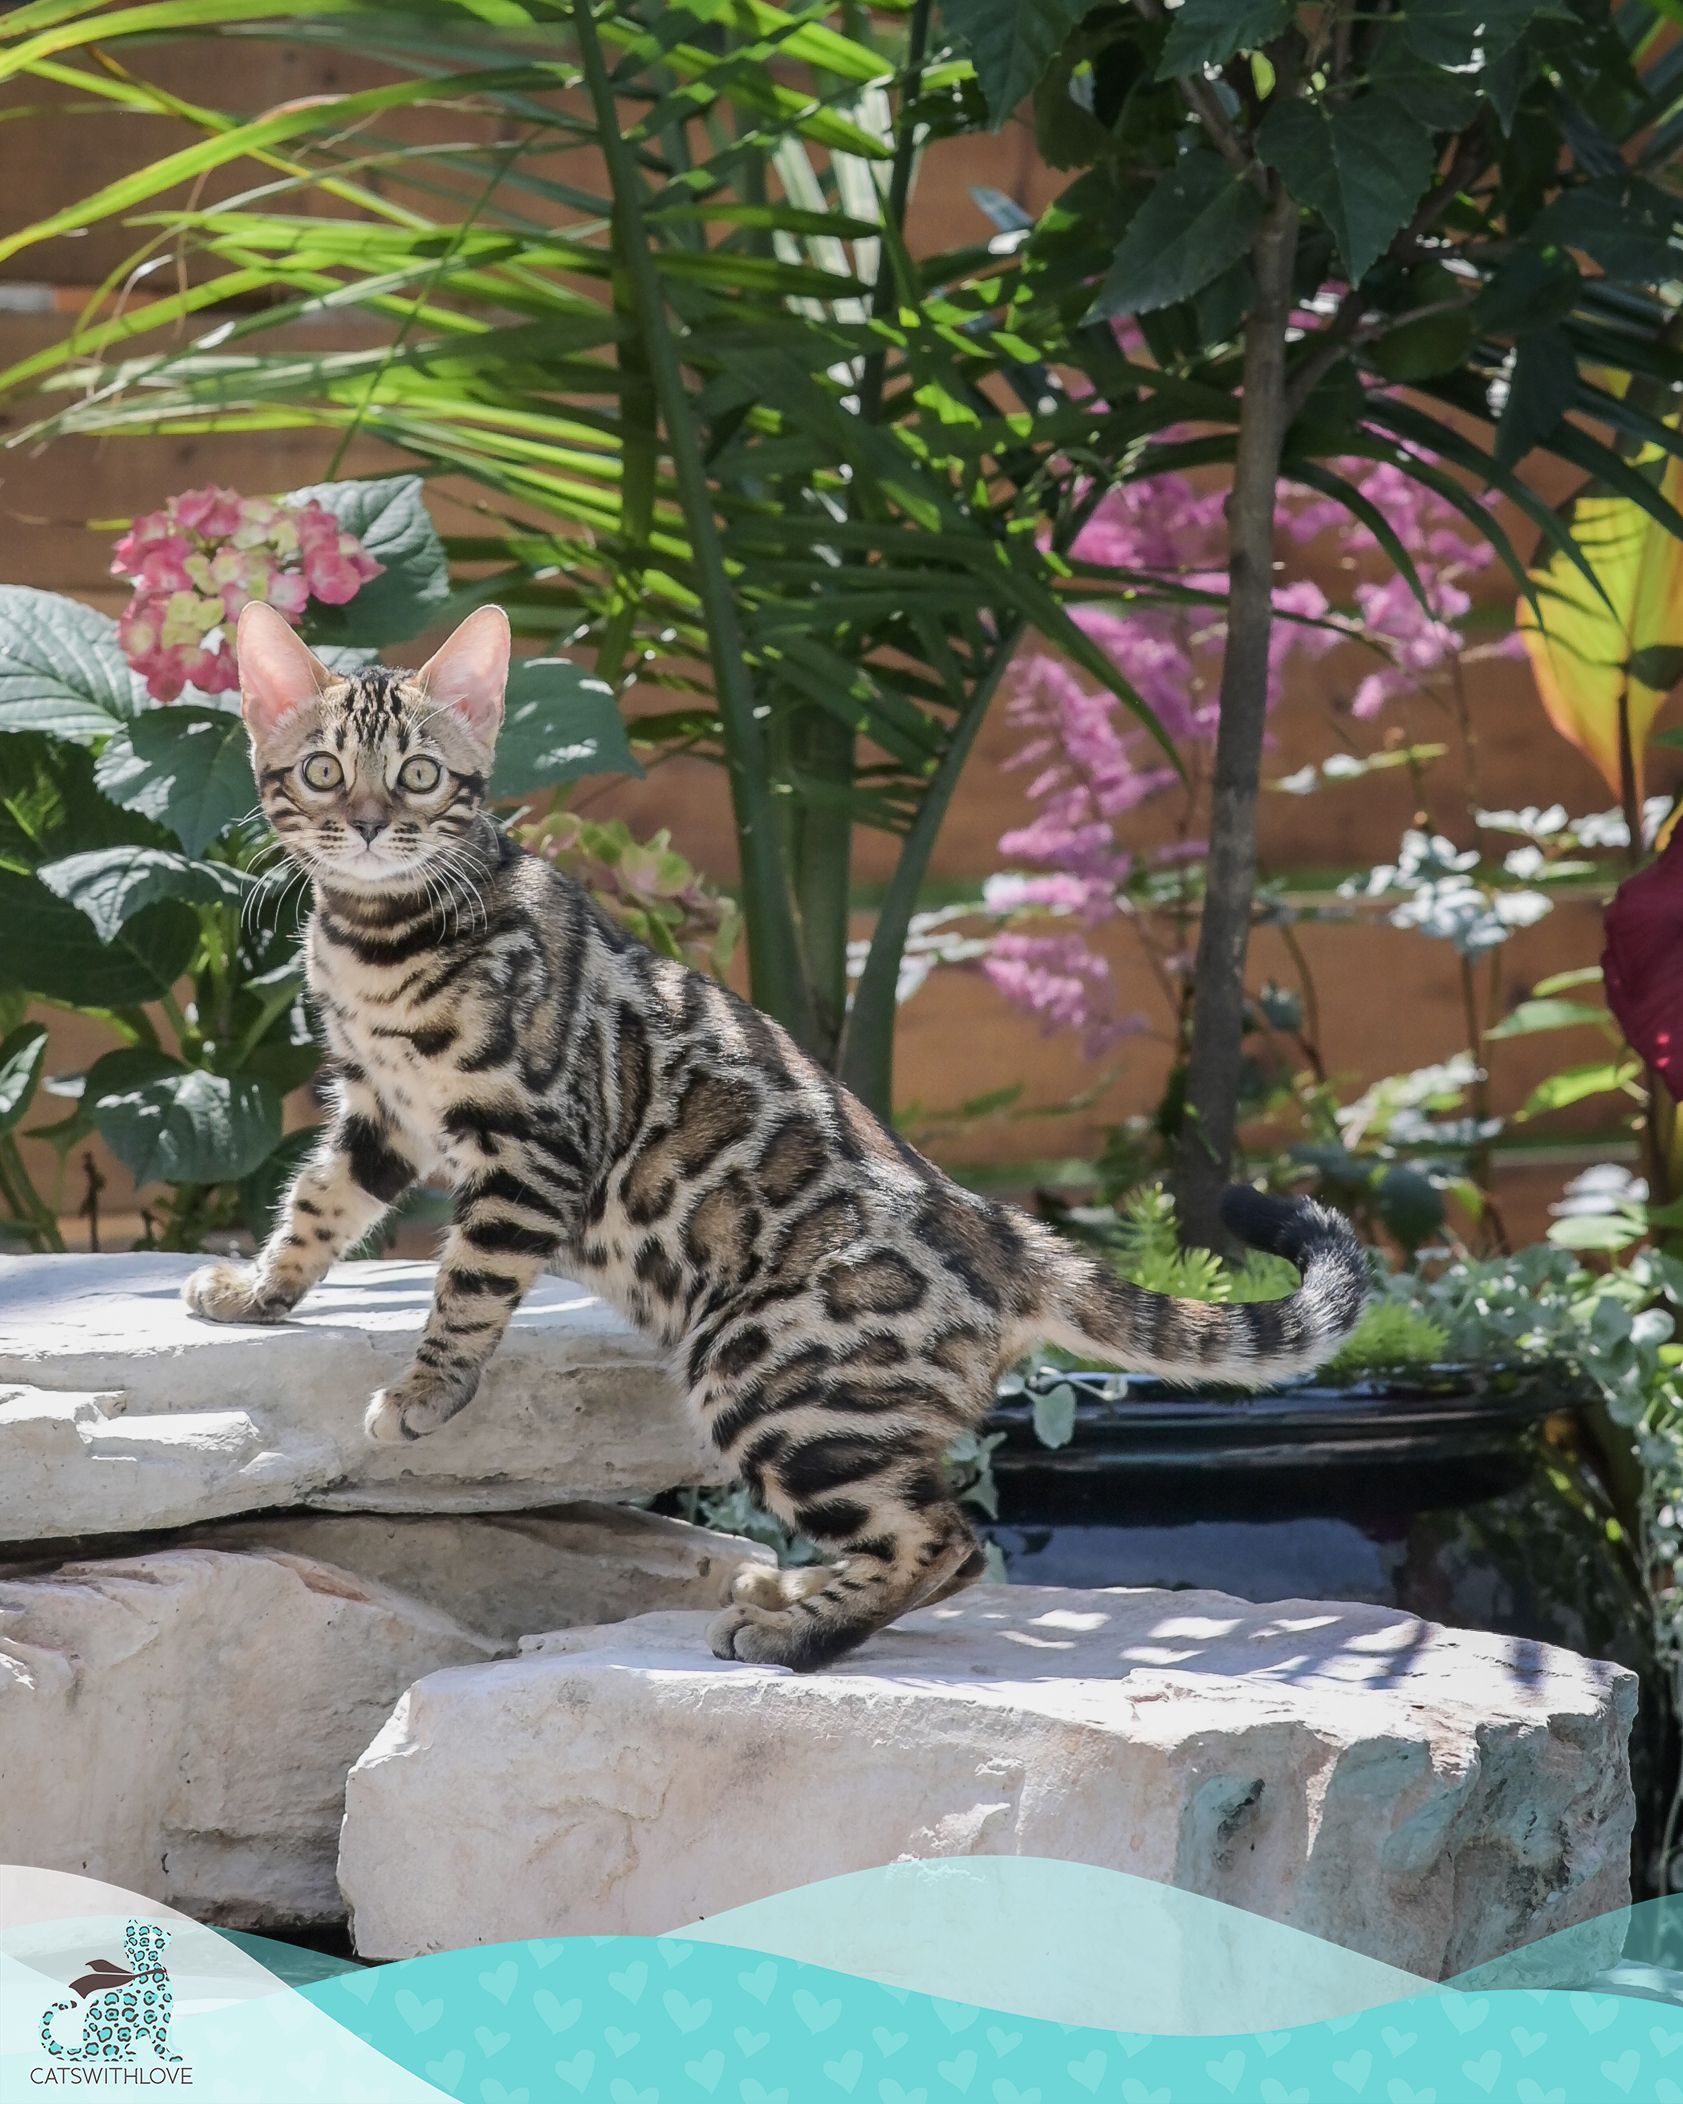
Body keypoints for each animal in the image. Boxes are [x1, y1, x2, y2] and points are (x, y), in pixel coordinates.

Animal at [187, 601, 1363, 1666]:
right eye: (325, 771)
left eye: (422, 776)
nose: (369, 823)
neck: (377, 939)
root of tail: (1000, 1231)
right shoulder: (380, 1109)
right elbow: (318, 1202)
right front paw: (256, 1290)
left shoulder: (530, 1136)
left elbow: (467, 1282)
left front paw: (428, 1390)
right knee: (939, 1534)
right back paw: (792, 1592)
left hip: (771, 1377)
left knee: (947, 1538)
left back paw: (795, 1634)